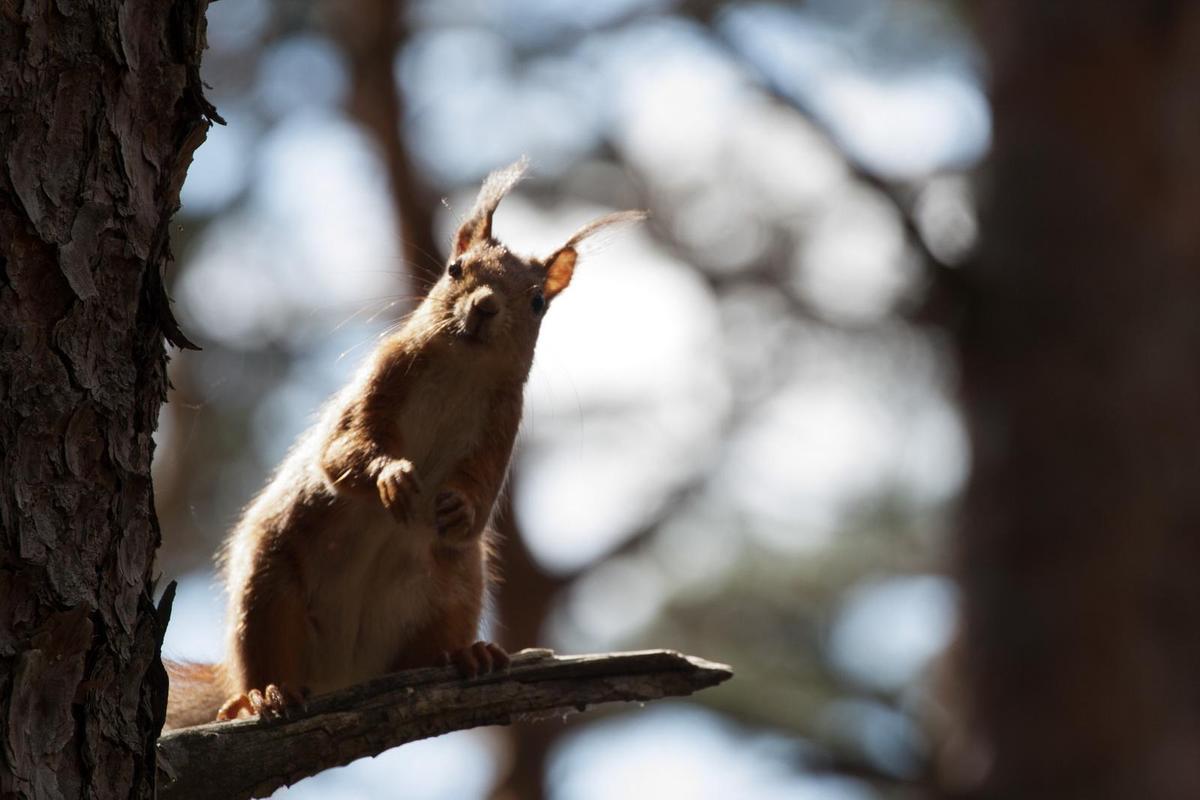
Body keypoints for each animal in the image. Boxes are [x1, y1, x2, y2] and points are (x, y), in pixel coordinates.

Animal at [166, 159, 648, 729]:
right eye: (455, 269)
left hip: (452, 592)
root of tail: (341, 676)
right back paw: (262, 695)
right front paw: (391, 476)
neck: (461, 372)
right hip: (266, 591)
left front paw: (459, 508)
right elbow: (340, 452)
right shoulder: (382, 378)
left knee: (421, 654)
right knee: (257, 659)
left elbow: (481, 496)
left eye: (537, 302)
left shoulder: (503, 427)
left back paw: (467, 654)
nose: (484, 307)